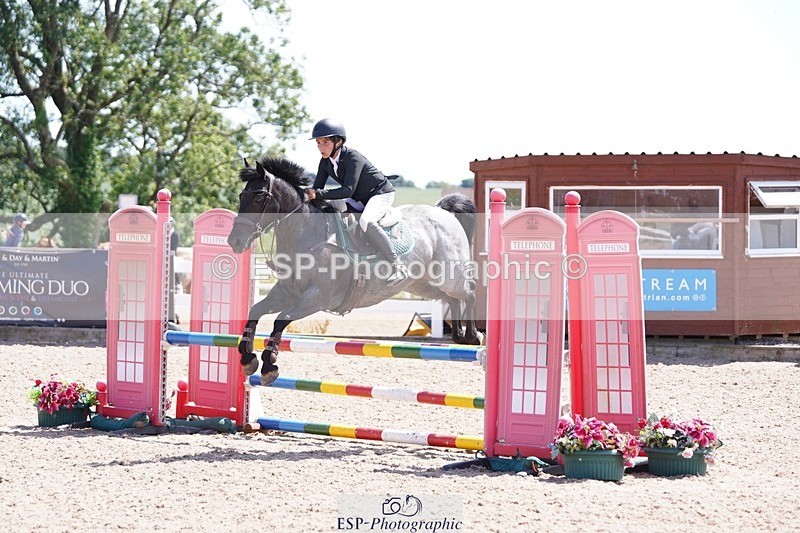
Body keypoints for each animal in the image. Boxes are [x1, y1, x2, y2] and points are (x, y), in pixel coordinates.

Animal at [227, 156, 482, 385]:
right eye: (241, 196)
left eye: (259, 196)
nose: (234, 242)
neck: (306, 234)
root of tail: (443, 212)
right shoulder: (287, 292)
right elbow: (255, 311)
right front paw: (248, 358)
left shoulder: (316, 298)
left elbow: (281, 320)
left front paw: (269, 365)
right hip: (425, 285)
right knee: (453, 298)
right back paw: (459, 336)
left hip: (449, 275)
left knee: (469, 292)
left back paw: (473, 335)